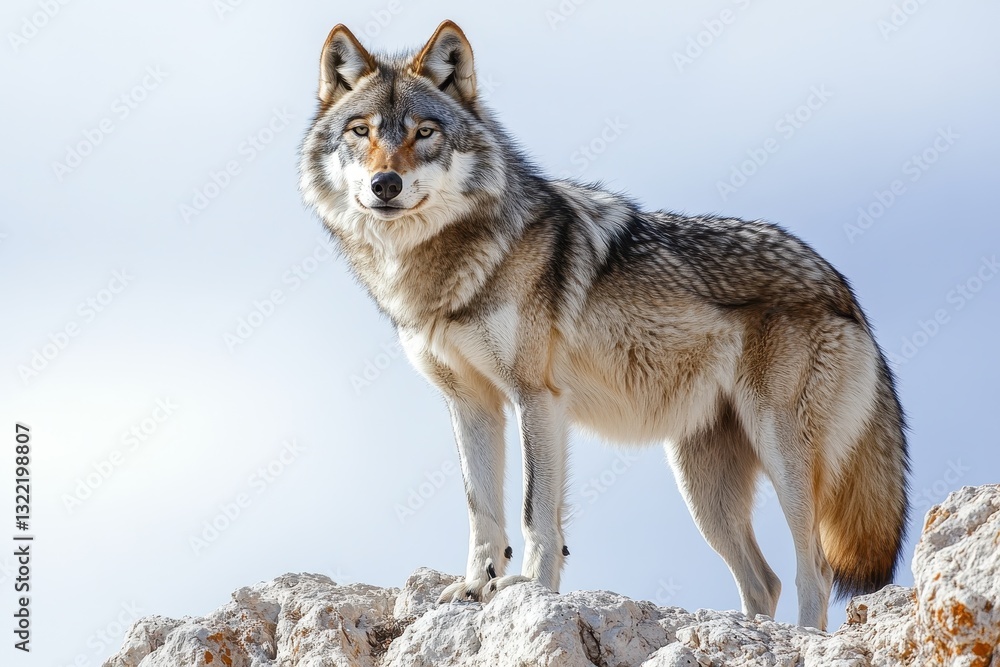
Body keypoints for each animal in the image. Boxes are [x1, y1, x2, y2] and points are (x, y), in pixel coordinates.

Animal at [298, 20, 909, 631]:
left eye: (424, 132)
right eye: (361, 131)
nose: (385, 184)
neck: (443, 268)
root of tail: (843, 288)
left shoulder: (536, 397)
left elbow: (535, 511)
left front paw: (533, 591)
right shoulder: (471, 404)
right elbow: (481, 509)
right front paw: (475, 589)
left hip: (780, 451)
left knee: (816, 571)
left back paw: (803, 638)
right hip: (701, 483)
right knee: (765, 580)